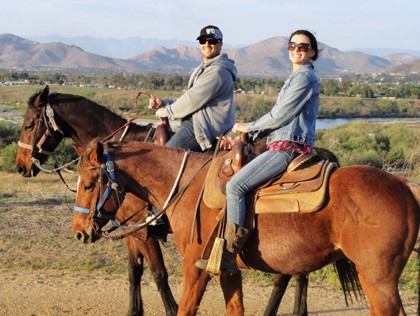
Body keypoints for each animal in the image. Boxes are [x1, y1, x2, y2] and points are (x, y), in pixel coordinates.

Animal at [73, 141, 420, 316]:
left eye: (89, 184)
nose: (79, 231)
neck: (186, 186)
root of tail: (404, 186)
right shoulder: (225, 268)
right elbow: (234, 307)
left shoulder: (195, 265)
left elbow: (183, 306)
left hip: (377, 280)